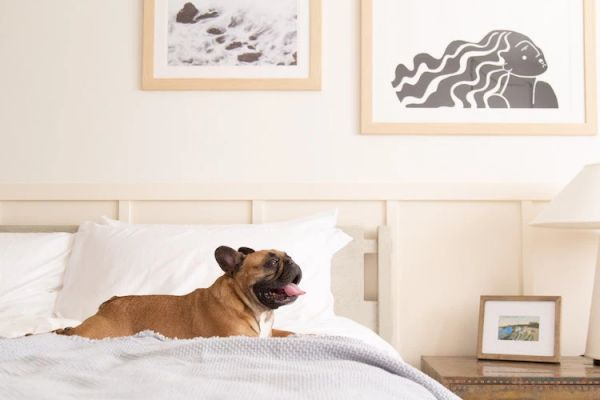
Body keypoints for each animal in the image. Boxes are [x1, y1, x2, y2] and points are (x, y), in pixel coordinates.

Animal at [54, 245, 304, 340]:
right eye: (272, 262)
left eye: (288, 256)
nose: (292, 261)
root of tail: (109, 303)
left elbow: (289, 332)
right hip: (98, 333)